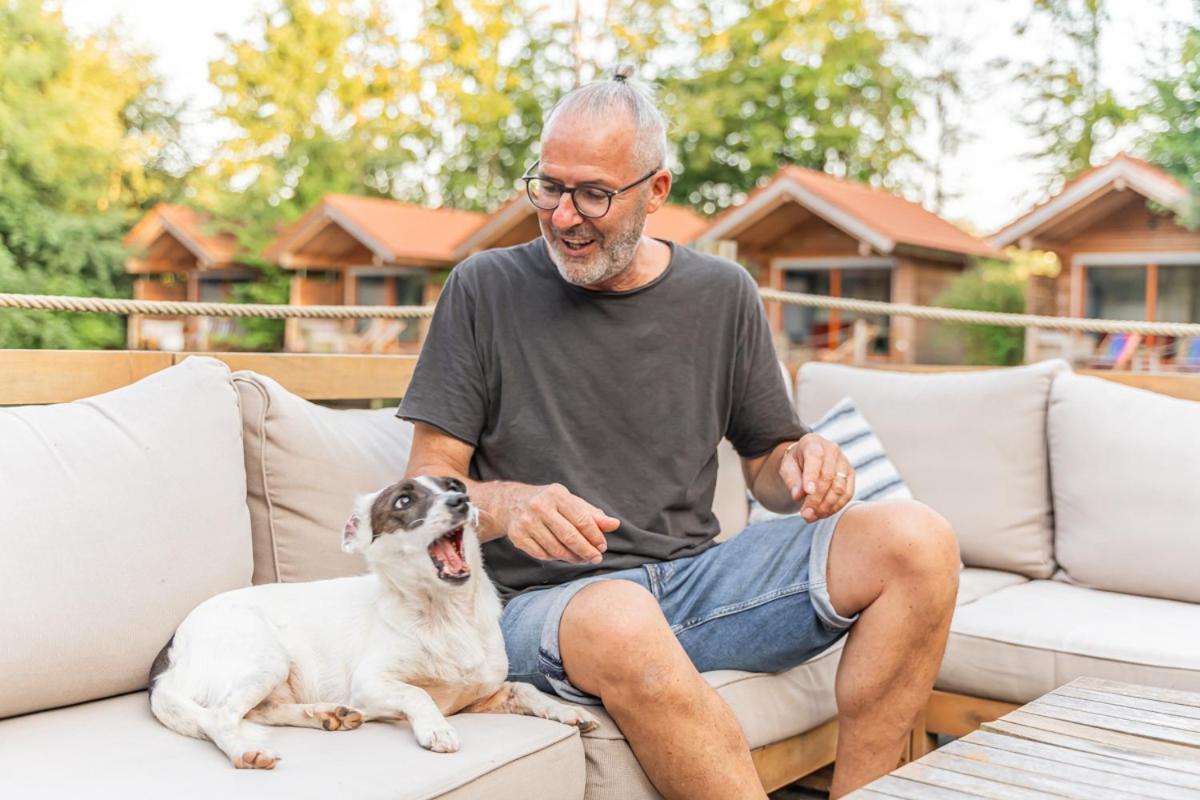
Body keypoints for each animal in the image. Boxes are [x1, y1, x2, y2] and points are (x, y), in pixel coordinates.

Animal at [150, 474, 600, 767]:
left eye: (455, 486)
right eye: (403, 501)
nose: (462, 501)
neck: (445, 615)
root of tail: (170, 653)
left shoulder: (480, 695)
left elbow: (526, 689)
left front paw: (565, 711)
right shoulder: (370, 684)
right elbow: (416, 694)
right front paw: (436, 729)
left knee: (259, 712)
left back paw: (326, 715)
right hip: (264, 659)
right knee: (219, 716)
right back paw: (246, 750)